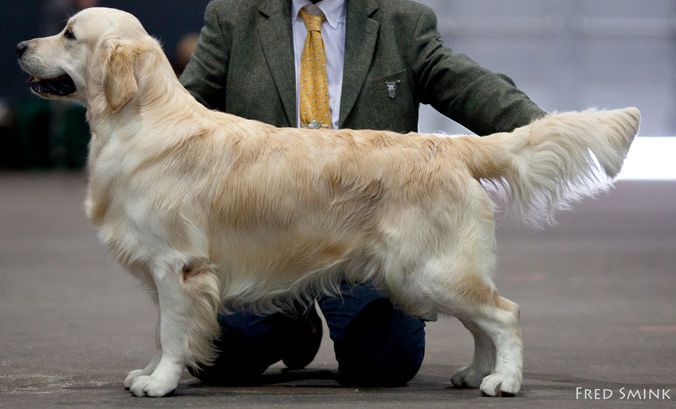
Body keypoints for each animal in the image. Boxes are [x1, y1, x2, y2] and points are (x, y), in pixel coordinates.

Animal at [17, 7, 640, 398]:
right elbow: (158, 332)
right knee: (482, 323)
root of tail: (452, 146)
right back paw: (472, 373)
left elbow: (171, 333)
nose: (21, 45)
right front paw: (148, 371)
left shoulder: (179, 266)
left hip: (430, 269)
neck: (141, 120)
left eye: (69, 33)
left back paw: (503, 382)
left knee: (504, 314)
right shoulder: (166, 271)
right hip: (432, 272)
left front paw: (161, 382)